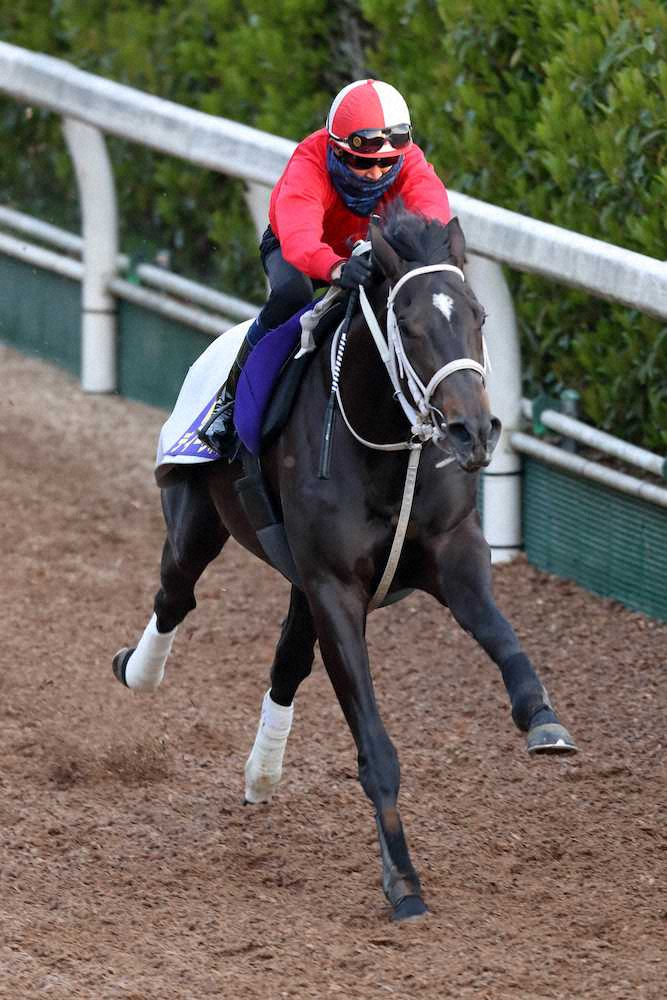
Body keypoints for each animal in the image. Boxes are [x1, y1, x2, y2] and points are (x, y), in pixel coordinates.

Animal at [112, 203, 576, 920]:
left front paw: (542, 719)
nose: (472, 432)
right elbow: (375, 748)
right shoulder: (334, 588)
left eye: (478, 315)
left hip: (298, 579)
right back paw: (139, 670)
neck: (386, 442)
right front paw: (403, 881)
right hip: (197, 520)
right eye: (409, 324)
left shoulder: (451, 551)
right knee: (176, 593)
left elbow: (502, 634)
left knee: (286, 660)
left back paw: (262, 774)